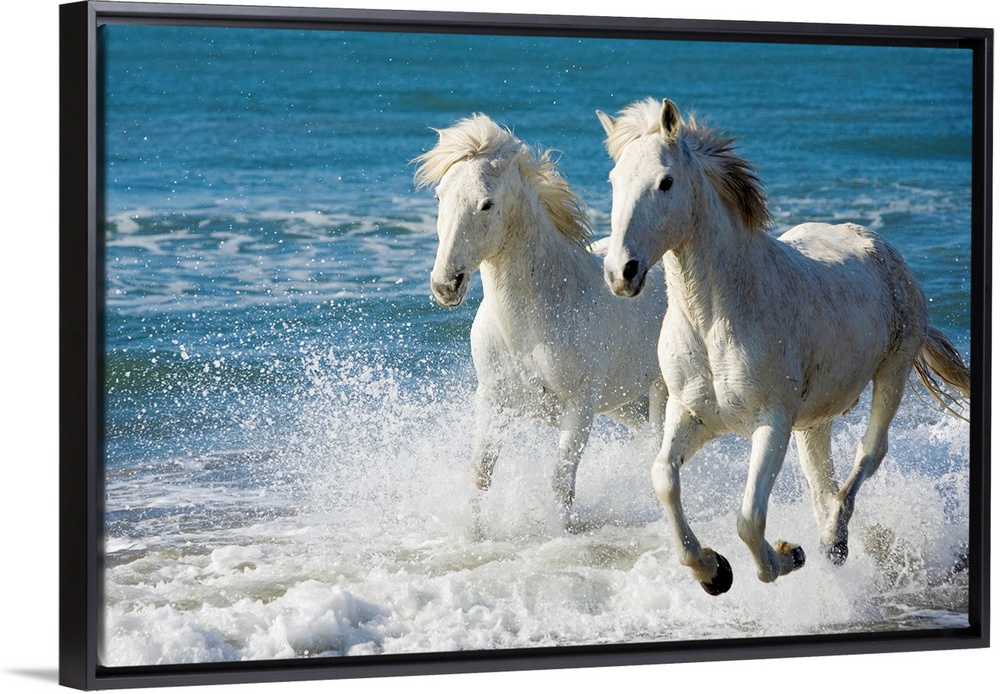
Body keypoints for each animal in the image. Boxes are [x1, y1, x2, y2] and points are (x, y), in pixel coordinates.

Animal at [413, 114, 668, 528]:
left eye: (486, 204)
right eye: (439, 197)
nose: (445, 285)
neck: (531, 325)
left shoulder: (579, 406)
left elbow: (562, 482)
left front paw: (562, 533)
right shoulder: (493, 401)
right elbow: (480, 475)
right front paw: (473, 533)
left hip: (662, 388)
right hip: (622, 401)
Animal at [597, 97, 971, 594]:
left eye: (666, 181)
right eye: (614, 181)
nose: (622, 272)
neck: (716, 320)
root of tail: (880, 245)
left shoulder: (771, 424)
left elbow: (749, 519)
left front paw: (784, 557)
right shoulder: (690, 413)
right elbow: (664, 479)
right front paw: (712, 570)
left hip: (892, 373)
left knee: (868, 456)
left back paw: (831, 537)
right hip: (814, 420)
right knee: (821, 482)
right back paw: (831, 542)